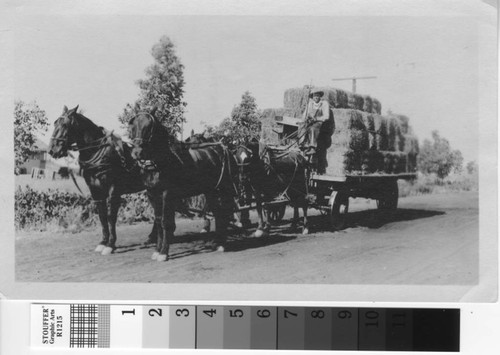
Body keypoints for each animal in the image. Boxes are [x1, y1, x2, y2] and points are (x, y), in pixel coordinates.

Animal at [47, 105, 156, 256]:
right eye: (55, 123)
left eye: (65, 125)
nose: (52, 150)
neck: (98, 152)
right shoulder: (96, 192)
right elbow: (102, 216)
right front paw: (103, 242)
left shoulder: (113, 191)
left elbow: (110, 217)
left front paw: (110, 244)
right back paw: (152, 237)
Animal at [129, 112, 238, 262]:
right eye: (133, 126)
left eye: (149, 126)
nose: (137, 153)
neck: (161, 162)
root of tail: (223, 148)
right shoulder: (152, 195)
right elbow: (158, 221)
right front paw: (157, 250)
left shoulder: (167, 194)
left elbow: (165, 222)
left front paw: (163, 252)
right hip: (211, 191)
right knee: (218, 213)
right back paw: (217, 242)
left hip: (223, 189)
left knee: (224, 213)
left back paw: (222, 243)